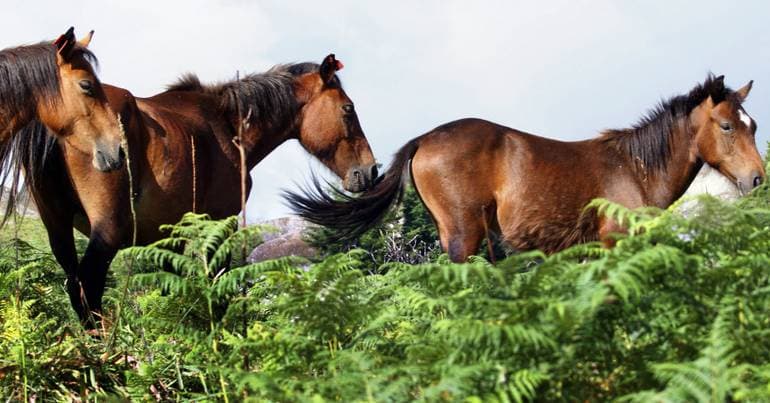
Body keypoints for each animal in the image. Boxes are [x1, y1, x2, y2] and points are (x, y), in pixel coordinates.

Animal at [11, 54, 377, 324]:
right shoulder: (220, 223)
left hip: (57, 226)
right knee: (87, 284)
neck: (227, 126)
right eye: (348, 109)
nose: (369, 170)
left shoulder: (166, 238)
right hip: (107, 229)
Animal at [286, 75, 764, 262]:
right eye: (726, 125)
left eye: (753, 125)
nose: (758, 178)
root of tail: (425, 138)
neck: (633, 168)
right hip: (464, 238)